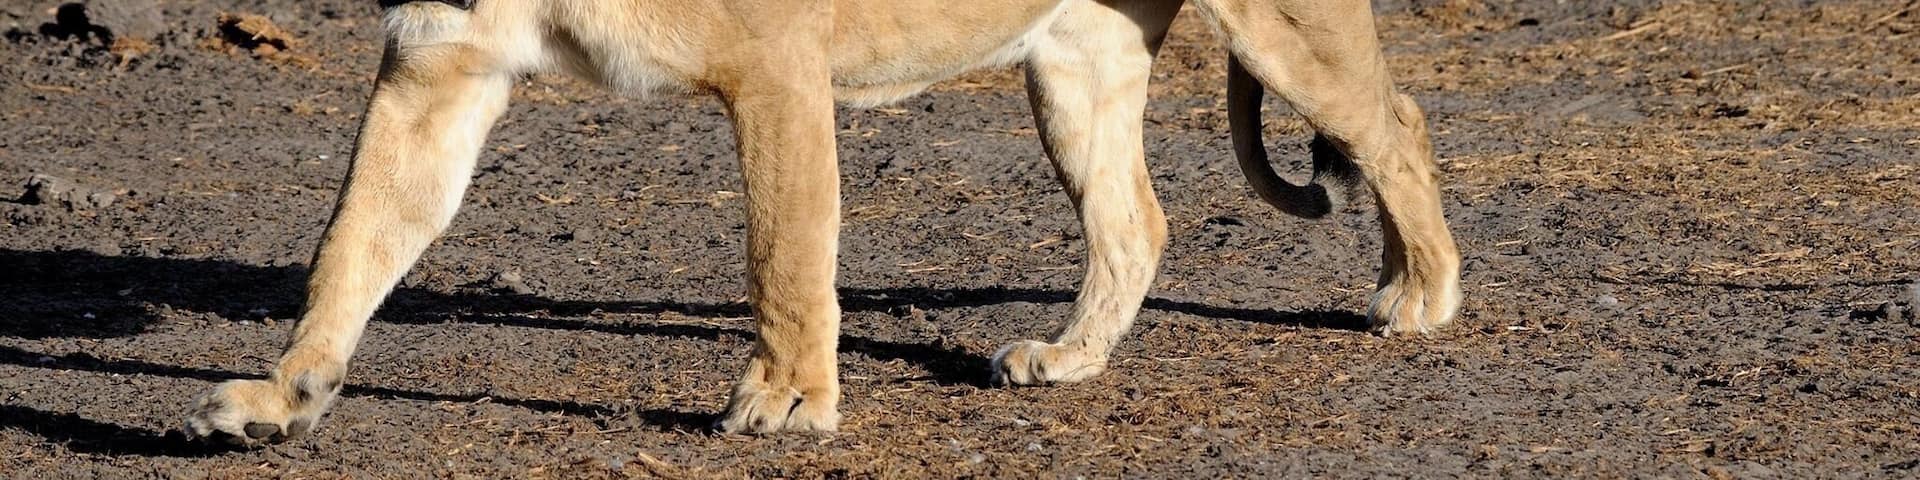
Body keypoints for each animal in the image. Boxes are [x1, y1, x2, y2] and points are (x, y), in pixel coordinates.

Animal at [184, 0, 1462, 444]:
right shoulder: (435, 61)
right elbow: (353, 242)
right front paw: (283, 396)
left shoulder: (777, 66)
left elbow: (784, 254)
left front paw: (790, 404)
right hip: (1075, 61)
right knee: (1136, 222)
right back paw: (1069, 357)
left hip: (1279, 26)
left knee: (1394, 120)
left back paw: (1421, 293)